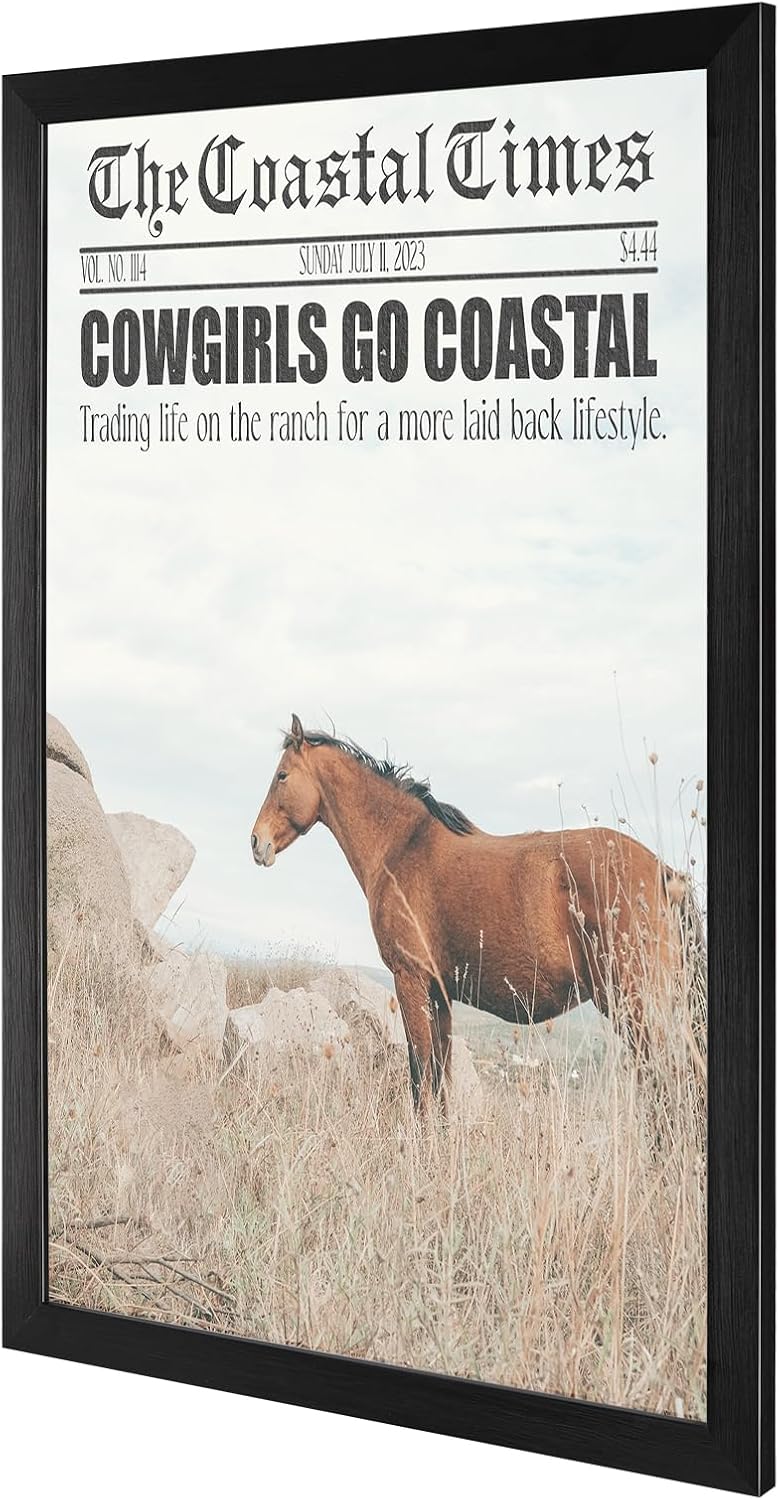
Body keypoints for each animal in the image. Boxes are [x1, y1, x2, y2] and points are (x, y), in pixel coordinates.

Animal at [251, 715, 700, 1108]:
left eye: (282, 776)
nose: (257, 842)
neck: (403, 846)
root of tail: (664, 873)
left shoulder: (410, 981)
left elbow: (421, 1080)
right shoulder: (440, 995)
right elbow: (440, 1081)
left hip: (636, 1006)